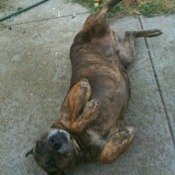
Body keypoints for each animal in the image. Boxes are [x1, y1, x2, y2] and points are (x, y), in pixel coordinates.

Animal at [25, 0, 161, 174]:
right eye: (50, 162)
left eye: (39, 142)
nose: (54, 142)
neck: (79, 142)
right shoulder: (100, 147)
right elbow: (106, 156)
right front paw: (126, 135)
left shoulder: (76, 93)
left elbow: (76, 121)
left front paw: (89, 111)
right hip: (126, 55)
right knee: (129, 33)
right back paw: (150, 32)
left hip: (95, 23)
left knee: (106, 7)